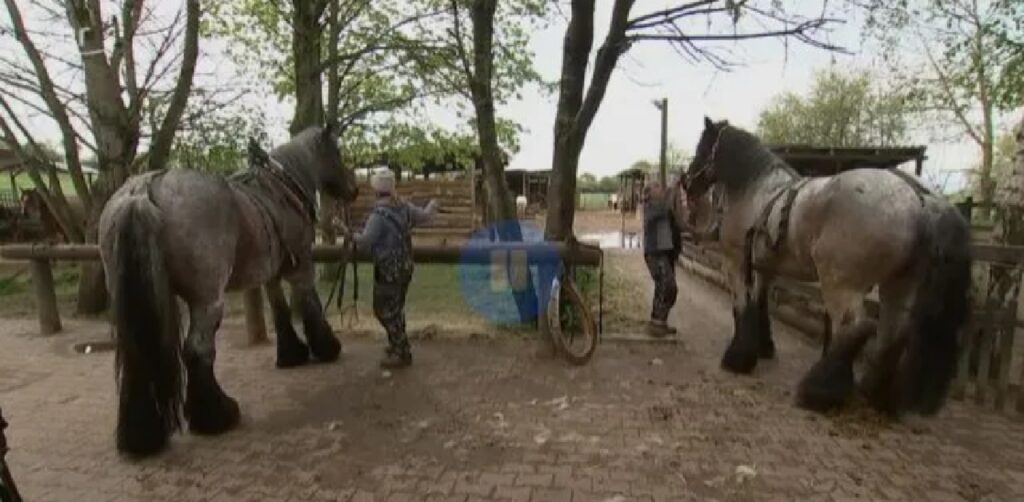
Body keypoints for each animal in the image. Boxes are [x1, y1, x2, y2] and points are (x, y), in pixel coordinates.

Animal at [99, 124, 356, 454]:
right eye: (336, 151)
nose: (353, 188)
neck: (283, 189)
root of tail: (143, 189)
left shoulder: (271, 273)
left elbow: (280, 309)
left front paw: (291, 354)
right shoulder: (302, 267)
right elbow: (309, 304)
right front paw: (326, 347)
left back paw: (142, 435)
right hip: (207, 300)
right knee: (197, 350)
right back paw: (217, 414)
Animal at [684, 116, 970, 415]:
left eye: (703, 147)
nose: (687, 183)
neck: (755, 189)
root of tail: (919, 202)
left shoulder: (736, 261)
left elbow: (742, 305)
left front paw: (738, 357)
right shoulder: (765, 266)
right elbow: (760, 303)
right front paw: (763, 347)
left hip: (840, 283)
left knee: (855, 328)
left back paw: (819, 392)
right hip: (899, 284)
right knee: (893, 334)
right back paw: (876, 394)